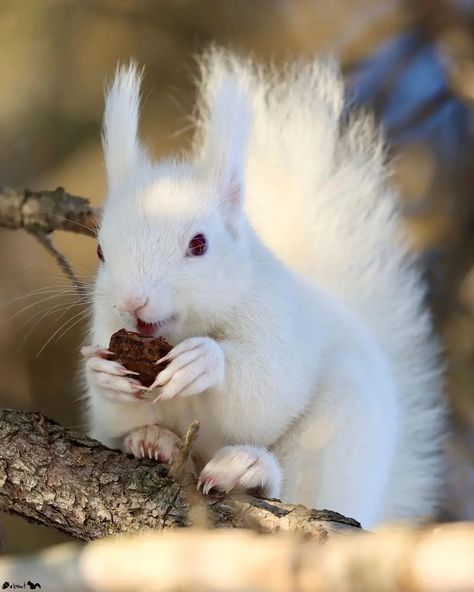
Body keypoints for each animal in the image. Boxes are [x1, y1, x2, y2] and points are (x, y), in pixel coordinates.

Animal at [83, 49, 446, 528]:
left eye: (199, 244)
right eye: (101, 250)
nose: (132, 301)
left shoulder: (280, 321)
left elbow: (266, 391)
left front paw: (205, 362)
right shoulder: (106, 331)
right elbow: (111, 416)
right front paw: (103, 375)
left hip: (340, 432)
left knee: (299, 491)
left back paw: (249, 471)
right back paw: (153, 442)